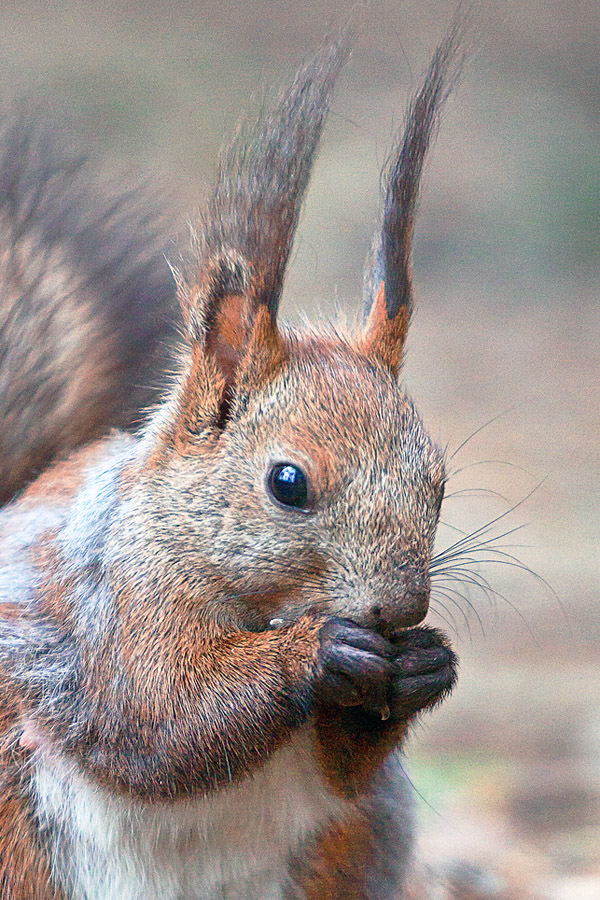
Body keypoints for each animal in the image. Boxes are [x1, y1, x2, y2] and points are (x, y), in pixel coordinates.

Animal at [0, 21, 464, 900]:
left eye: (439, 483)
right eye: (288, 484)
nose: (399, 611)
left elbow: (344, 766)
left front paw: (426, 664)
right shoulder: (115, 611)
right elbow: (161, 720)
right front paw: (316, 652)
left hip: (346, 851)